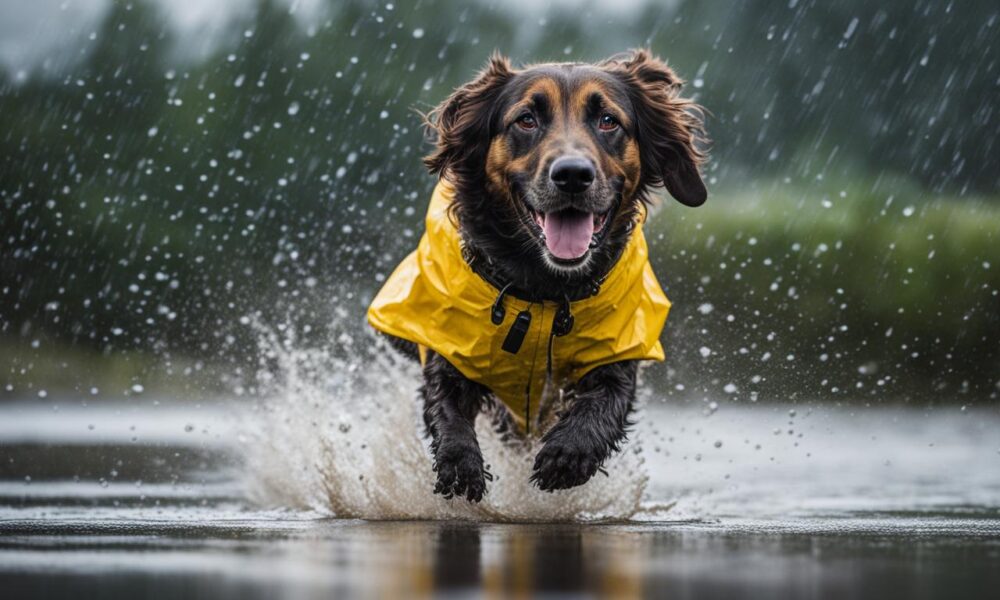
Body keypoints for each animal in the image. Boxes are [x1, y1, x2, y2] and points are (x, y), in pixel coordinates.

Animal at [366, 50, 704, 502]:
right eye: (526, 119)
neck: (545, 291)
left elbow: (606, 400)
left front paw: (567, 455)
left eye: (608, 120)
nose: (573, 174)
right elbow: (446, 401)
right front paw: (460, 465)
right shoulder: (447, 342)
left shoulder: (620, 345)